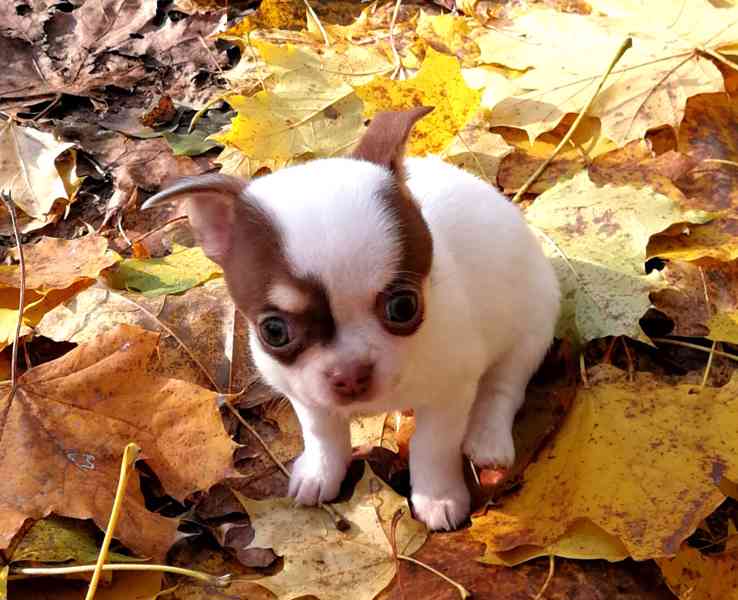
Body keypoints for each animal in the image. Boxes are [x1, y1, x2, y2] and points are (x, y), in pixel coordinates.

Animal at [142, 108, 556, 528]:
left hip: (534, 321)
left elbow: (433, 445)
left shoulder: (450, 391)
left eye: (403, 307)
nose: (350, 374)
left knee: (504, 385)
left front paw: (436, 497)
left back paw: (487, 438)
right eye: (274, 331)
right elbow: (322, 432)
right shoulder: (304, 392)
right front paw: (321, 472)